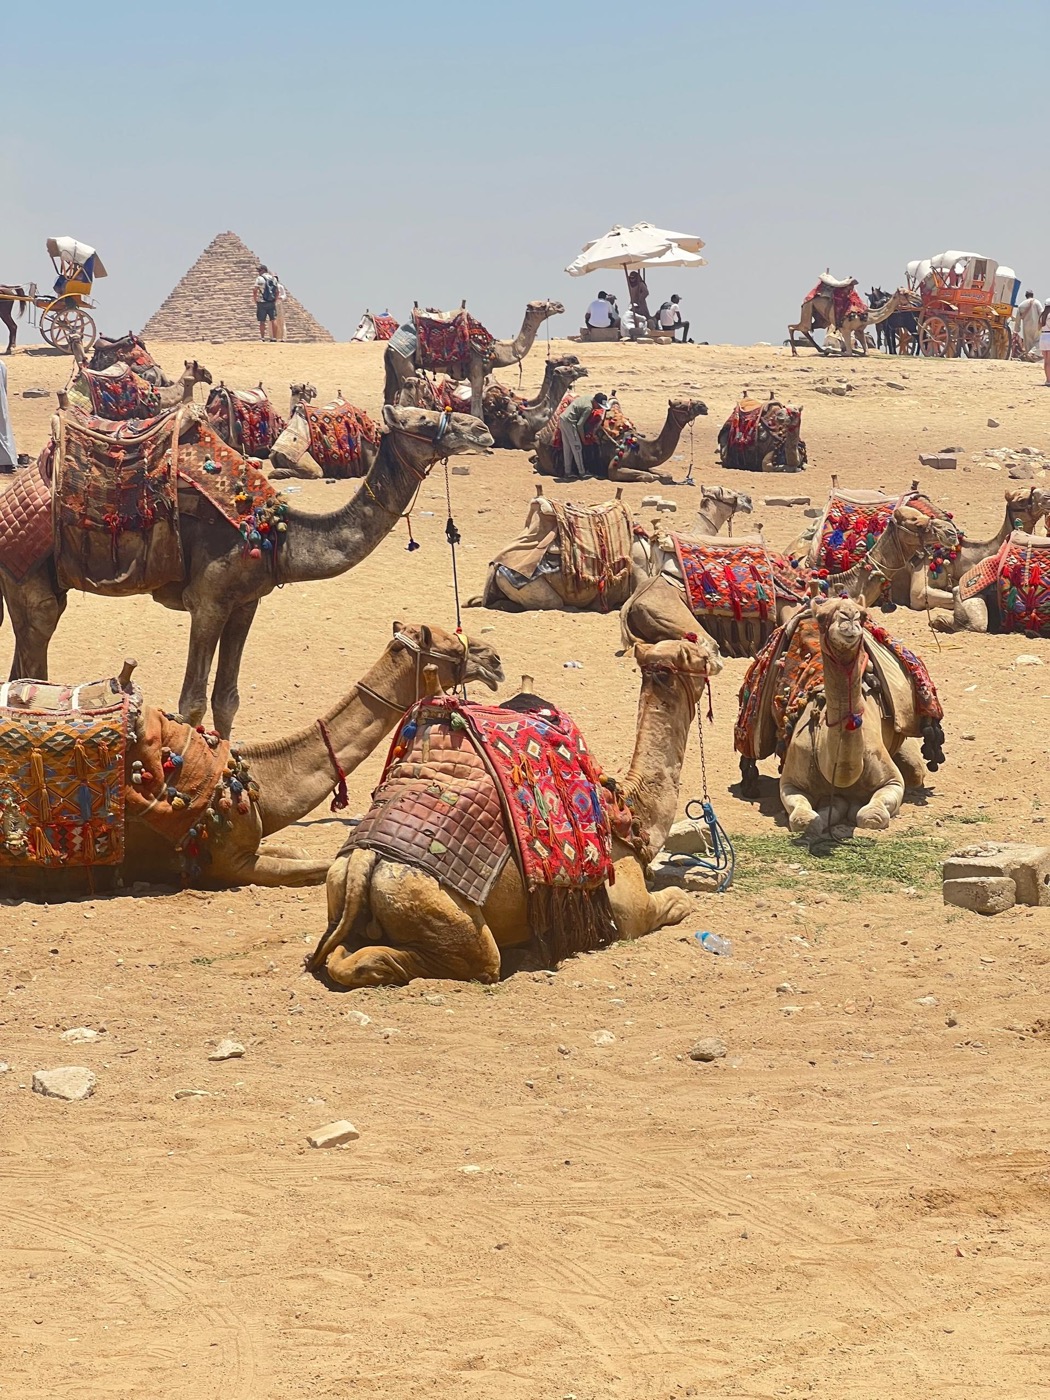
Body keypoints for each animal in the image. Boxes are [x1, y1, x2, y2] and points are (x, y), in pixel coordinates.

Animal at [0, 405, 493, 738]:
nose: (483, 430)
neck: (276, 536)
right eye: (423, 418)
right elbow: (192, 703)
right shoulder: (208, 602)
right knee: (34, 659)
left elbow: (227, 701)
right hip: (28, 575)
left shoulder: (245, 604)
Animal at [308, 636, 715, 988]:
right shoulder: (628, 906)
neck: (627, 809)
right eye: (695, 652)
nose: (716, 648)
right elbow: (676, 902)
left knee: (340, 950)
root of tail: (363, 861)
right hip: (443, 913)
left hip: (339, 888)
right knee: (476, 961)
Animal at [383, 300, 565, 418]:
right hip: (404, 362)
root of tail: (390, 345)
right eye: (541, 304)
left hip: (392, 365)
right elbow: (477, 406)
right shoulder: (477, 369)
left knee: (389, 396)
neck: (495, 350)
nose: (560, 305)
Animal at [532, 398, 708, 484]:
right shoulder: (614, 468)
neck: (641, 448)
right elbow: (649, 477)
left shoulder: (644, 463)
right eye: (681, 405)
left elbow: (666, 475)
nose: (703, 405)